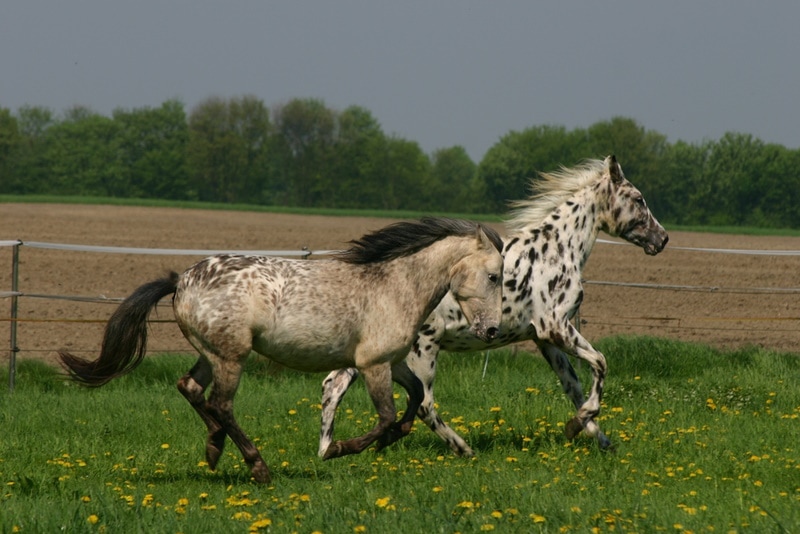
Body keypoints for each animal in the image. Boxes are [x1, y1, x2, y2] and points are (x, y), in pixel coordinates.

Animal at [318, 154, 668, 456]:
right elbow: (600, 363)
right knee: (424, 403)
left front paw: (595, 437)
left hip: (368, 351)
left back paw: (331, 448)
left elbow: (574, 388)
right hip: (422, 348)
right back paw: (462, 449)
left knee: (332, 385)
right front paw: (578, 425)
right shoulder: (555, 328)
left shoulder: (544, 340)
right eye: (639, 198)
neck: (554, 251)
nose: (662, 239)